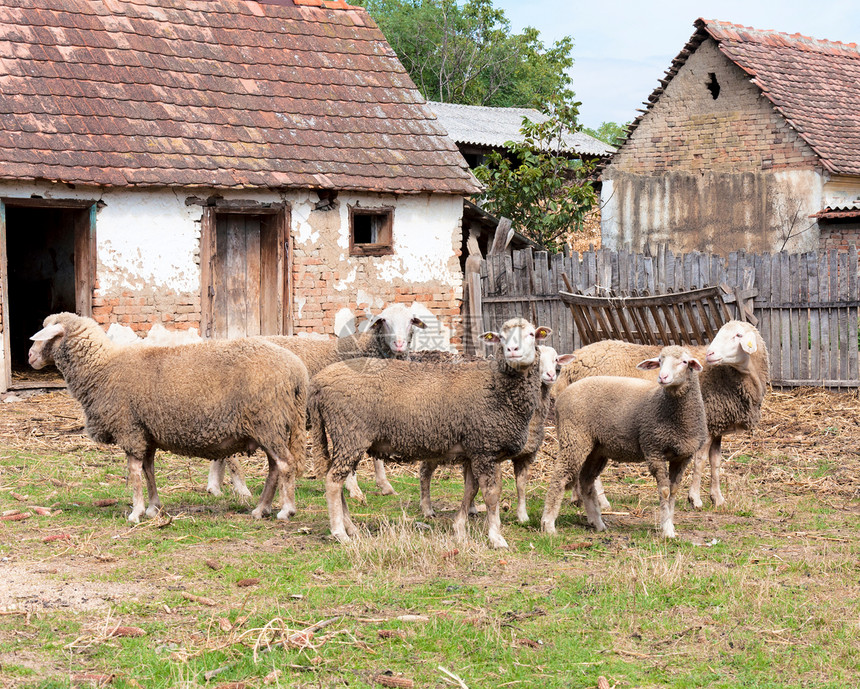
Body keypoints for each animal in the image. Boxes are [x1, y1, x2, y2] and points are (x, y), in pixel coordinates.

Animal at [28, 312, 308, 520]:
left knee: (284, 464)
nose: (29, 356)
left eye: (45, 336)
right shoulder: (146, 431)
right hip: (271, 426)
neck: (102, 367)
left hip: (267, 421)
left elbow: (133, 472)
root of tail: (297, 370)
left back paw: (286, 510)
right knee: (275, 467)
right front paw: (154, 508)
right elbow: (148, 470)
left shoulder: (129, 428)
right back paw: (261, 509)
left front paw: (136, 512)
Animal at [310, 318, 552, 548]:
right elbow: (491, 495)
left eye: (532, 334)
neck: (497, 386)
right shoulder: (485, 448)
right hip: (349, 433)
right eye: (501, 337)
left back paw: (351, 528)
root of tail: (319, 381)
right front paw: (496, 538)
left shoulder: (474, 450)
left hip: (345, 436)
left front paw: (459, 528)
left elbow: (470, 490)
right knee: (333, 482)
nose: (512, 350)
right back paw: (340, 533)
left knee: (336, 479)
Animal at [420, 344, 576, 520]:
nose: (550, 375)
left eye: (556, 359)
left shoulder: (525, 455)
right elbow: (496, 487)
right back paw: (427, 509)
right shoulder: (495, 454)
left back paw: (471, 508)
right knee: (425, 472)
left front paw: (522, 516)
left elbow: (521, 485)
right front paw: (495, 515)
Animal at [540, 344, 708, 536]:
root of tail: (563, 395)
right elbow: (665, 492)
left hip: (596, 449)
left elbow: (673, 492)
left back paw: (598, 523)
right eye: (660, 360)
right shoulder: (654, 449)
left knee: (586, 482)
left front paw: (670, 526)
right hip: (574, 437)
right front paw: (666, 530)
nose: (662, 377)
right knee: (559, 477)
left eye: (685, 362)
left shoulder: (683, 456)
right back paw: (548, 525)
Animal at [556, 320, 768, 508]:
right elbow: (700, 462)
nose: (710, 354)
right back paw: (602, 501)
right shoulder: (704, 426)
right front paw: (695, 499)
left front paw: (718, 499)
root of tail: (572, 364)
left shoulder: (717, 426)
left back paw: (578, 498)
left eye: (738, 335)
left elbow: (715, 464)